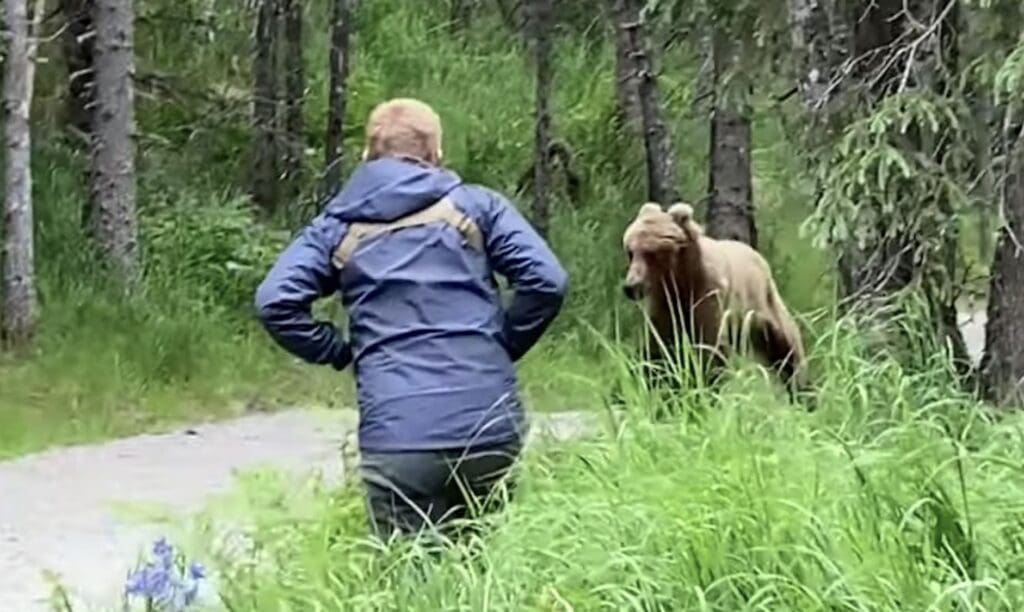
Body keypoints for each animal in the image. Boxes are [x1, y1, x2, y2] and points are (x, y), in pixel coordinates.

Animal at [621, 201, 809, 402]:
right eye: (630, 251)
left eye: (651, 253)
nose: (631, 286)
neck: (681, 280)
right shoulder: (664, 306)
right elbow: (658, 352)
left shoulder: (708, 297)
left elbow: (709, 353)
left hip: (763, 306)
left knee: (788, 350)